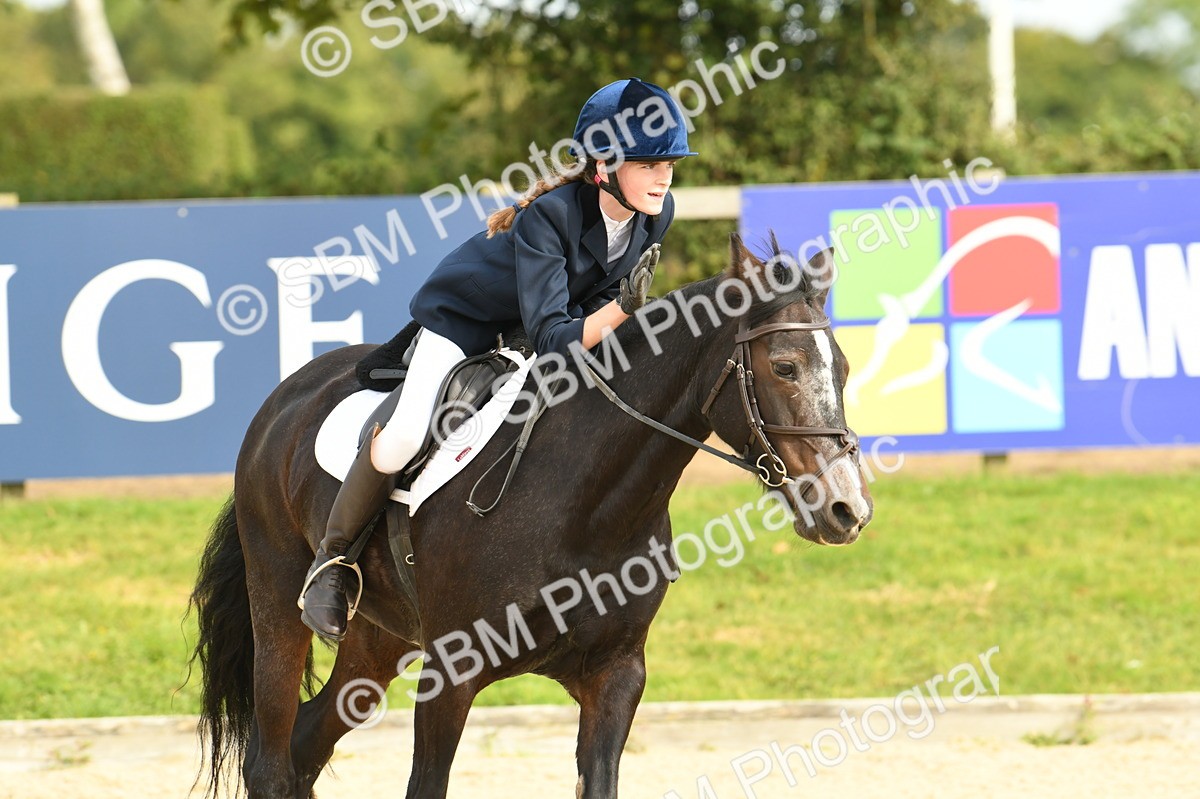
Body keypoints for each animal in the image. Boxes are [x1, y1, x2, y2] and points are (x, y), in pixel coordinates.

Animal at [189, 234, 873, 799]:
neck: (588, 511)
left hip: (378, 638)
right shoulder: (451, 674)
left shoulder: (615, 677)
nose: (849, 509)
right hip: (279, 602)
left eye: (841, 368)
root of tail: (288, 393)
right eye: (783, 367)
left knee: (306, 745)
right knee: (271, 763)